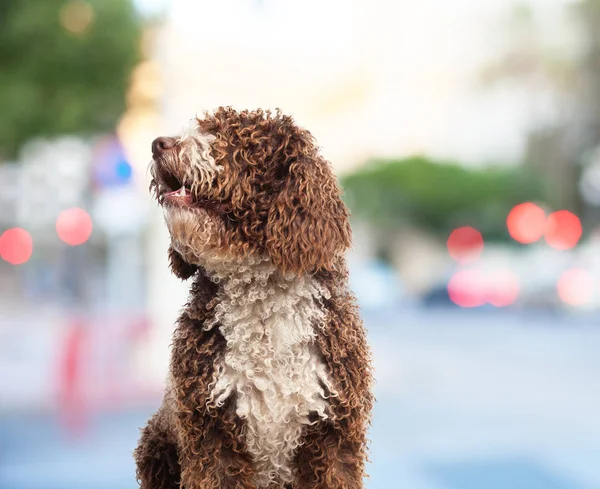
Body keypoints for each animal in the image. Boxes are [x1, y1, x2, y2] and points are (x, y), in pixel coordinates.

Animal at [134, 107, 372, 488]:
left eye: (230, 137)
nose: (159, 144)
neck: (262, 303)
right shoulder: (210, 439)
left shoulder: (334, 437)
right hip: (156, 448)